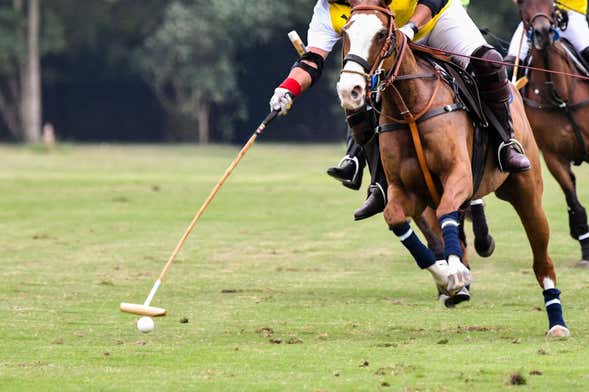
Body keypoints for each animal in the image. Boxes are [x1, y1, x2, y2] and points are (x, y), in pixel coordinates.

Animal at [336, 0, 568, 336]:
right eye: (345, 32)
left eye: (381, 34)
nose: (350, 89)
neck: (409, 107)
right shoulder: (407, 192)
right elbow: (397, 219)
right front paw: (447, 278)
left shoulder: (459, 175)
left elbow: (447, 211)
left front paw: (457, 272)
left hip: (527, 191)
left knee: (542, 260)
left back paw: (557, 322)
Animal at [516, 0, 588, 266]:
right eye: (523, 4)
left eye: (550, 3)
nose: (543, 33)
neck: (560, 94)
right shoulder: (553, 156)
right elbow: (573, 200)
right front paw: (585, 247)